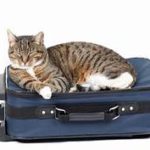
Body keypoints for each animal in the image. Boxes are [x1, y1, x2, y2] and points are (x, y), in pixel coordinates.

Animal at [8, 29, 137, 99]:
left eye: (31, 53)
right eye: (18, 54)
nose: (24, 61)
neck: (30, 68)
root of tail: (131, 67)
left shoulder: (60, 78)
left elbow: (51, 82)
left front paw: (47, 90)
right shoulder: (23, 79)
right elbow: (34, 84)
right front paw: (44, 90)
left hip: (100, 66)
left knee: (123, 79)